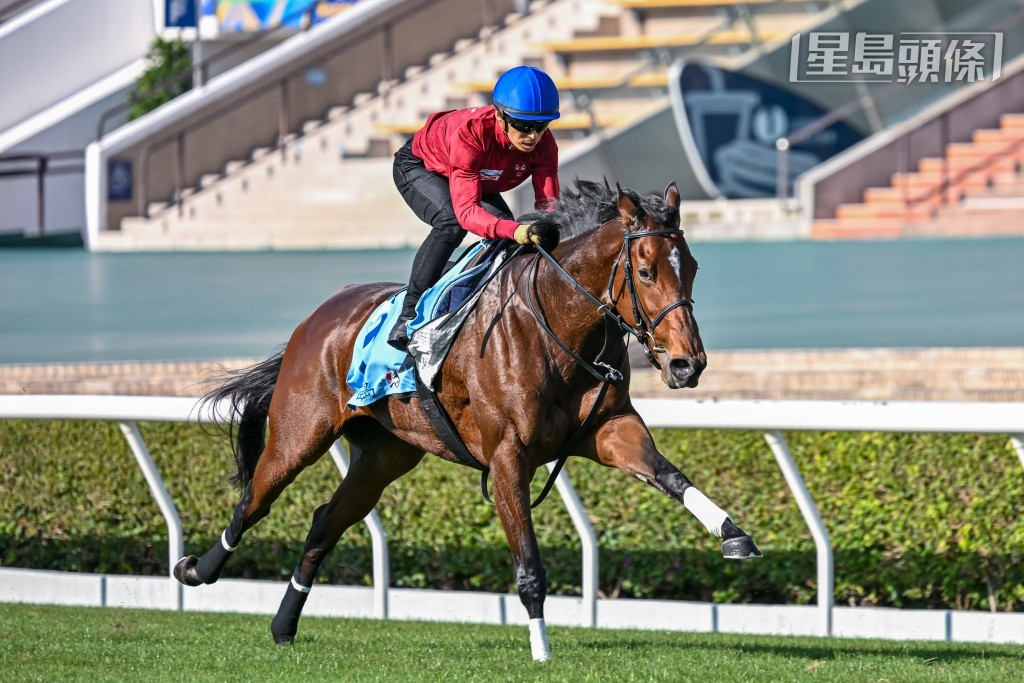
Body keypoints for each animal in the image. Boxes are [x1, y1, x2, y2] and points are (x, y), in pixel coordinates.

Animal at [174, 179, 761, 659]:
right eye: (644, 271)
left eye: (692, 268)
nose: (688, 364)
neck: (559, 327)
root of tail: (319, 315)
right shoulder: (507, 457)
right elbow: (529, 565)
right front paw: (541, 650)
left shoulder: (609, 429)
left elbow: (670, 475)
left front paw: (733, 534)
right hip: (301, 433)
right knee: (253, 502)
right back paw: (195, 570)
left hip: (386, 455)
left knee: (325, 520)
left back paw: (283, 625)